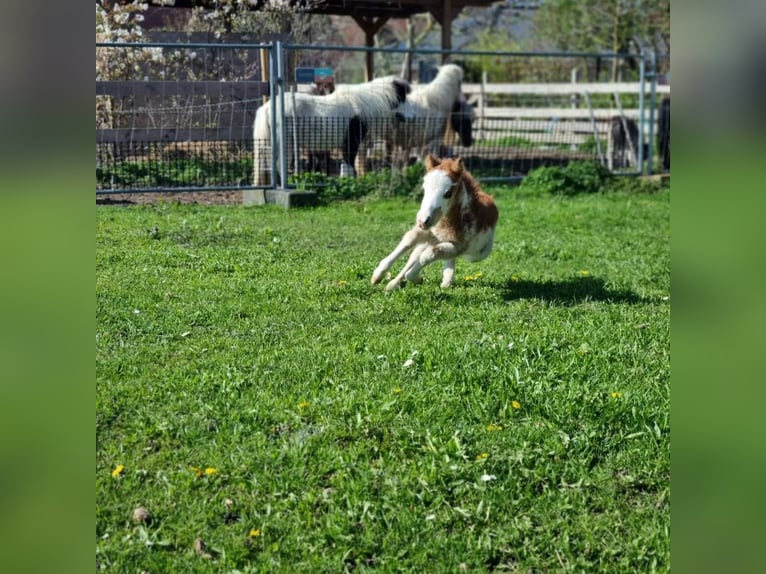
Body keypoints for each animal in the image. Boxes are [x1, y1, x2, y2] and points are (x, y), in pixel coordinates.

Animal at [370, 154, 498, 292]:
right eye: (424, 189)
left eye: (448, 193)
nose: (423, 221)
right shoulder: (429, 232)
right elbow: (410, 239)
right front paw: (378, 274)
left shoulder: (459, 247)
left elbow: (429, 254)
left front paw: (415, 277)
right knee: (414, 255)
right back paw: (394, 284)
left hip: (477, 255)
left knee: (433, 254)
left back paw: (446, 279)